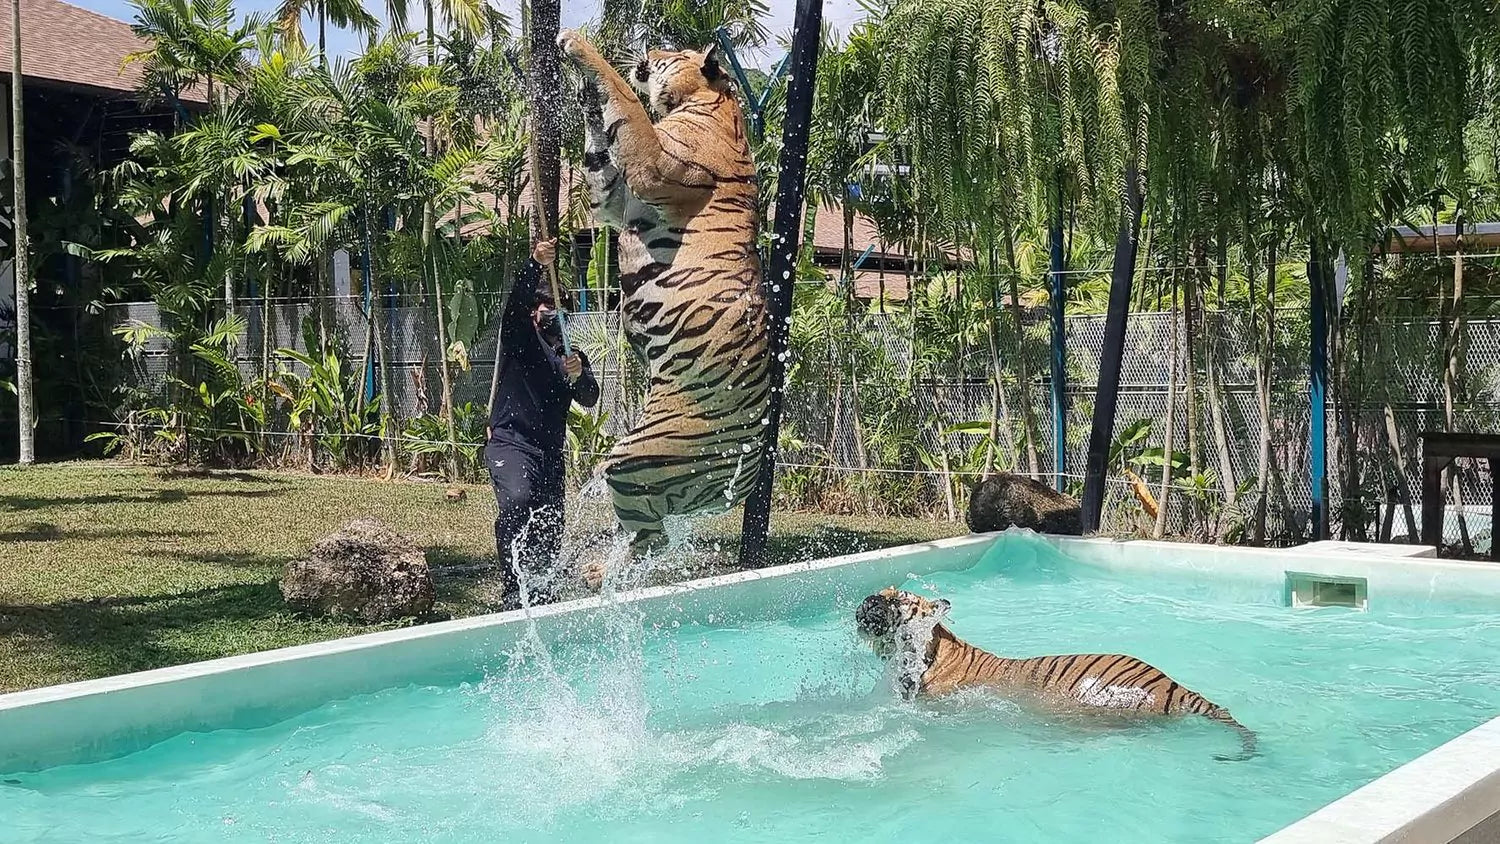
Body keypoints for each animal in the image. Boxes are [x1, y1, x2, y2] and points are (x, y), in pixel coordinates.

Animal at [557, 30, 770, 569]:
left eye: (670, 53)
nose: (648, 51)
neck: (711, 101)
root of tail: (745, 475)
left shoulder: (653, 164)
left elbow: (627, 102)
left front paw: (579, 47)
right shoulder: (614, 199)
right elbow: (601, 154)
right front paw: (585, 96)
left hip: (638, 456)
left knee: (650, 534)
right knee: (650, 535)